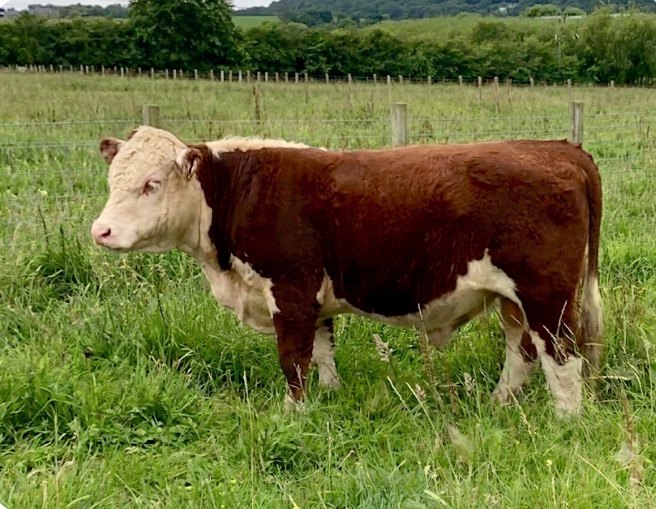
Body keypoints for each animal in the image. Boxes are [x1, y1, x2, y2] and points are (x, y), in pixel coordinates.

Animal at [91, 126, 603, 416]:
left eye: (151, 183)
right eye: (112, 180)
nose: (101, 231)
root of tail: (560, 149)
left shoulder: (291, 290)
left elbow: (293, 360)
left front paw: (291, 415)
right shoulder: (313, 298)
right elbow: (322, 351)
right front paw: (332, 395)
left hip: (546, 293)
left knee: (562, 355)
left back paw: (566, 421)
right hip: (512, 299)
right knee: (523, 352)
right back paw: (498, 405)